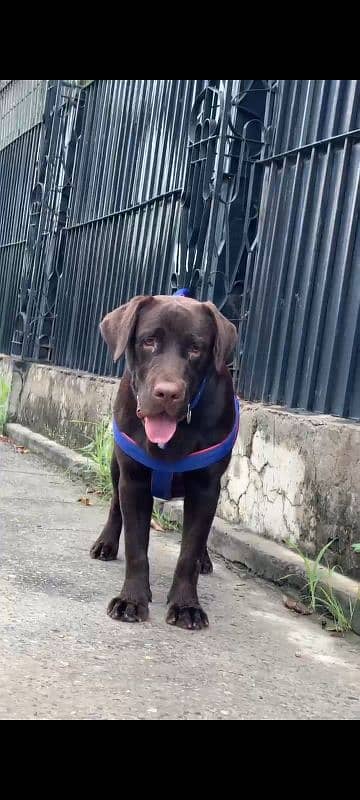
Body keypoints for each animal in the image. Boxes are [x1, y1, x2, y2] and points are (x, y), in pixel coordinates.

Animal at [90, 294, 238, 632]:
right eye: (149, 341)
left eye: (196, 348)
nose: (167, 393)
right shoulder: (134, 481)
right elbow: (136, 545)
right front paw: (132, 599)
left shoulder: (205, 488)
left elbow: (189, 551)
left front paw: (186, 605)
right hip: (117, 466)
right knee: (115, 505)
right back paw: (106, 543)